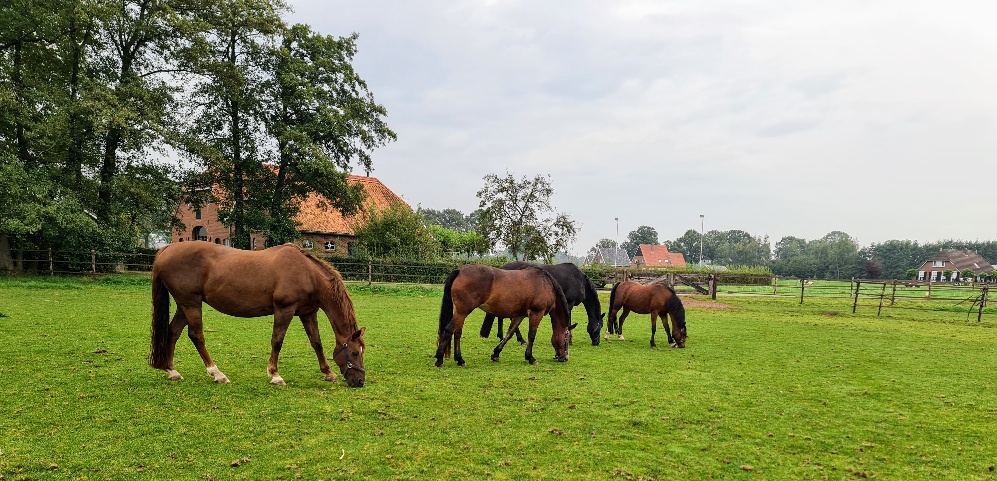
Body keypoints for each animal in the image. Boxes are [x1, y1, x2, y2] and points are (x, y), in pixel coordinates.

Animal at [148, 240, 366, 386]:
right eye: (355, 352)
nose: (360, 381)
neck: (308, 273)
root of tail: (166, 249)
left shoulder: (307, 313)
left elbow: (316, 343)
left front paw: (328, 373)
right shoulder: (284, 310)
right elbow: (277, 341)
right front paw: (275, 375)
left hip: (184, 305)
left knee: (173, 333)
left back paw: (172, 371)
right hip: (191, 303)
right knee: (197, 336)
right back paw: (217, 373)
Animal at [436, 264, 576, 366]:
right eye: (566, 339)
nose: (565, 357)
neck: (545, 284)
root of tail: (460, 270)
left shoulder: (520, 315)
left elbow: (510, 333)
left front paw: (496, 354)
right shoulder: (537, 313)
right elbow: (531, 335)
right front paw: (530, 358)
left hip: (460, 312)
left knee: (457, 333)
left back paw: (460, 360)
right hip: (462, 311)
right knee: (449, 330)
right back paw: (439, 359)